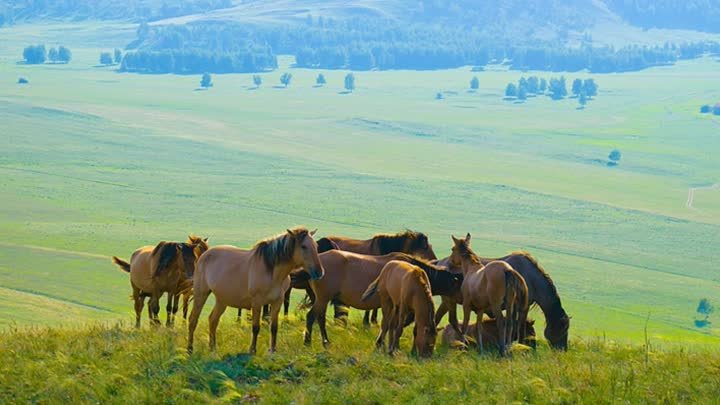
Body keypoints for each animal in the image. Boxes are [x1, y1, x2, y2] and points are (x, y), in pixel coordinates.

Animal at [186, 227, 324, 354]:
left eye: (316, 246)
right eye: (303, 246)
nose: (319, 272)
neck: (272, 272)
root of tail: (203, 256)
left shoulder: (277, 302)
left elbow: (274, 327)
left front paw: (273, 350)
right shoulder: (257, 303)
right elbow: (256, 327)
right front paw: (252, 350)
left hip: (222, 300)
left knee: (213, 320)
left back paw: (213, 348)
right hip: (201, 294)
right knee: (193, 319)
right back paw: (190, 349)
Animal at [436, 246, 572, 348]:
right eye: (563, 330)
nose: (563, 349)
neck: (531, 278)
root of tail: (440, 263)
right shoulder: (521, 307)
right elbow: (520, 326)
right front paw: (520, 344)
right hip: (449, 300)